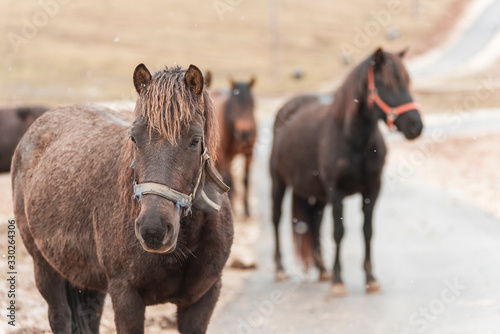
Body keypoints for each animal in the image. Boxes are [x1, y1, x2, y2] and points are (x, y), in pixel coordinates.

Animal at [11, 64, 234, 332]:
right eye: (134, 137)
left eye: (195, 140)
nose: (153, 230)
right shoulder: (126, 295)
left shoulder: (204, 298)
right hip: (45, 268)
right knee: (60, 316)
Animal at [208, 73, 256, 217]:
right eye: (234, 105)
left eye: (253, 104)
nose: (245, 133)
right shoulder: (224, 154)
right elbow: (228, 179)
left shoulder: (249, 154)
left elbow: (246, 180)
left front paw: (247, 210)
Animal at [270, 49, 422, 294]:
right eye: (385, 84)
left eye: (406, 83)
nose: (416, 126)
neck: (354, 141)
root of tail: (288, 109)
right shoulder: (336, 192)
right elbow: (339, 231)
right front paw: (338, 281)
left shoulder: (372, 190)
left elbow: (367, 230)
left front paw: (370, 278)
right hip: (279, 182)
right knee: (276, 218)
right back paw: (280, 268)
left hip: (317, 194)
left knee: (315, 223)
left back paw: (322, 269)